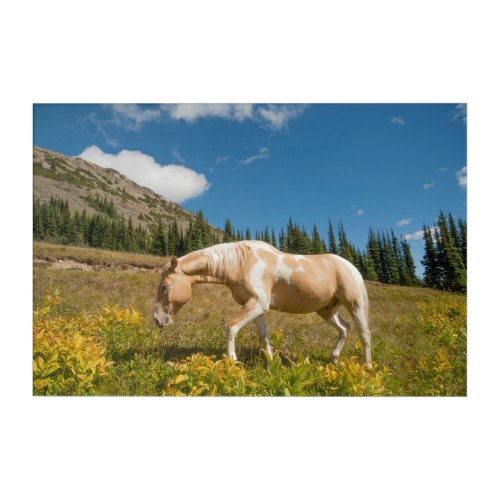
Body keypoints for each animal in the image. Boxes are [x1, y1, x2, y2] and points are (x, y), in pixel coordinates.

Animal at [152, 240, 372, 370]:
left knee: (364, 334)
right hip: (326, 310)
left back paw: (368, 367)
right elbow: (264, 336)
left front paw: (232, 362)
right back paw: (334, 361)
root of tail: (351, 267)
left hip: (355, 305)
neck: (241, 262)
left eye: (164, 286)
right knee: (344, 328)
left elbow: (231, 327)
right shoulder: (256, 309)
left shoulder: (257, 304)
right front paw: (271, 365)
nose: (157, 319)